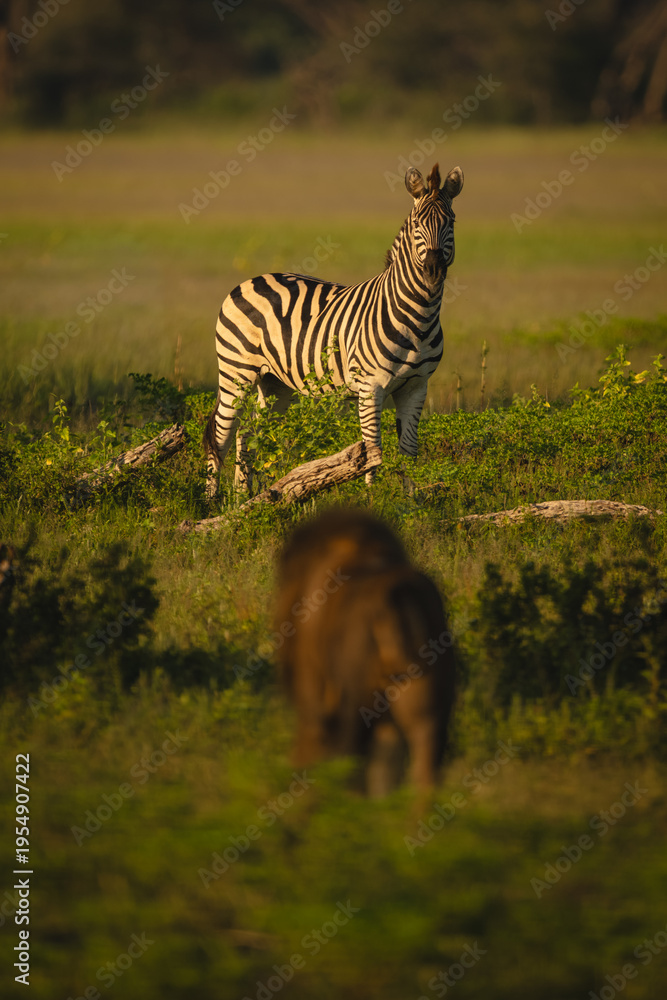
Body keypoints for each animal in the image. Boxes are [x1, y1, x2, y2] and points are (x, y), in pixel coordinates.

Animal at [204, 162, 463, 497]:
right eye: (418, 223)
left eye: (451, 221)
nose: (433, 271)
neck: (418, 316)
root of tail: (249, 280)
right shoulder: (370, 385)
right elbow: (373, 451)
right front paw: (372, 499)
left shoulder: (416, 387)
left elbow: (409, 451)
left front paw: (408, 501)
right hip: (236, 372)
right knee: (221, 436)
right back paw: (211, 501)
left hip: (274, 383)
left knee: (246, 434)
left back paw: (241, 497)